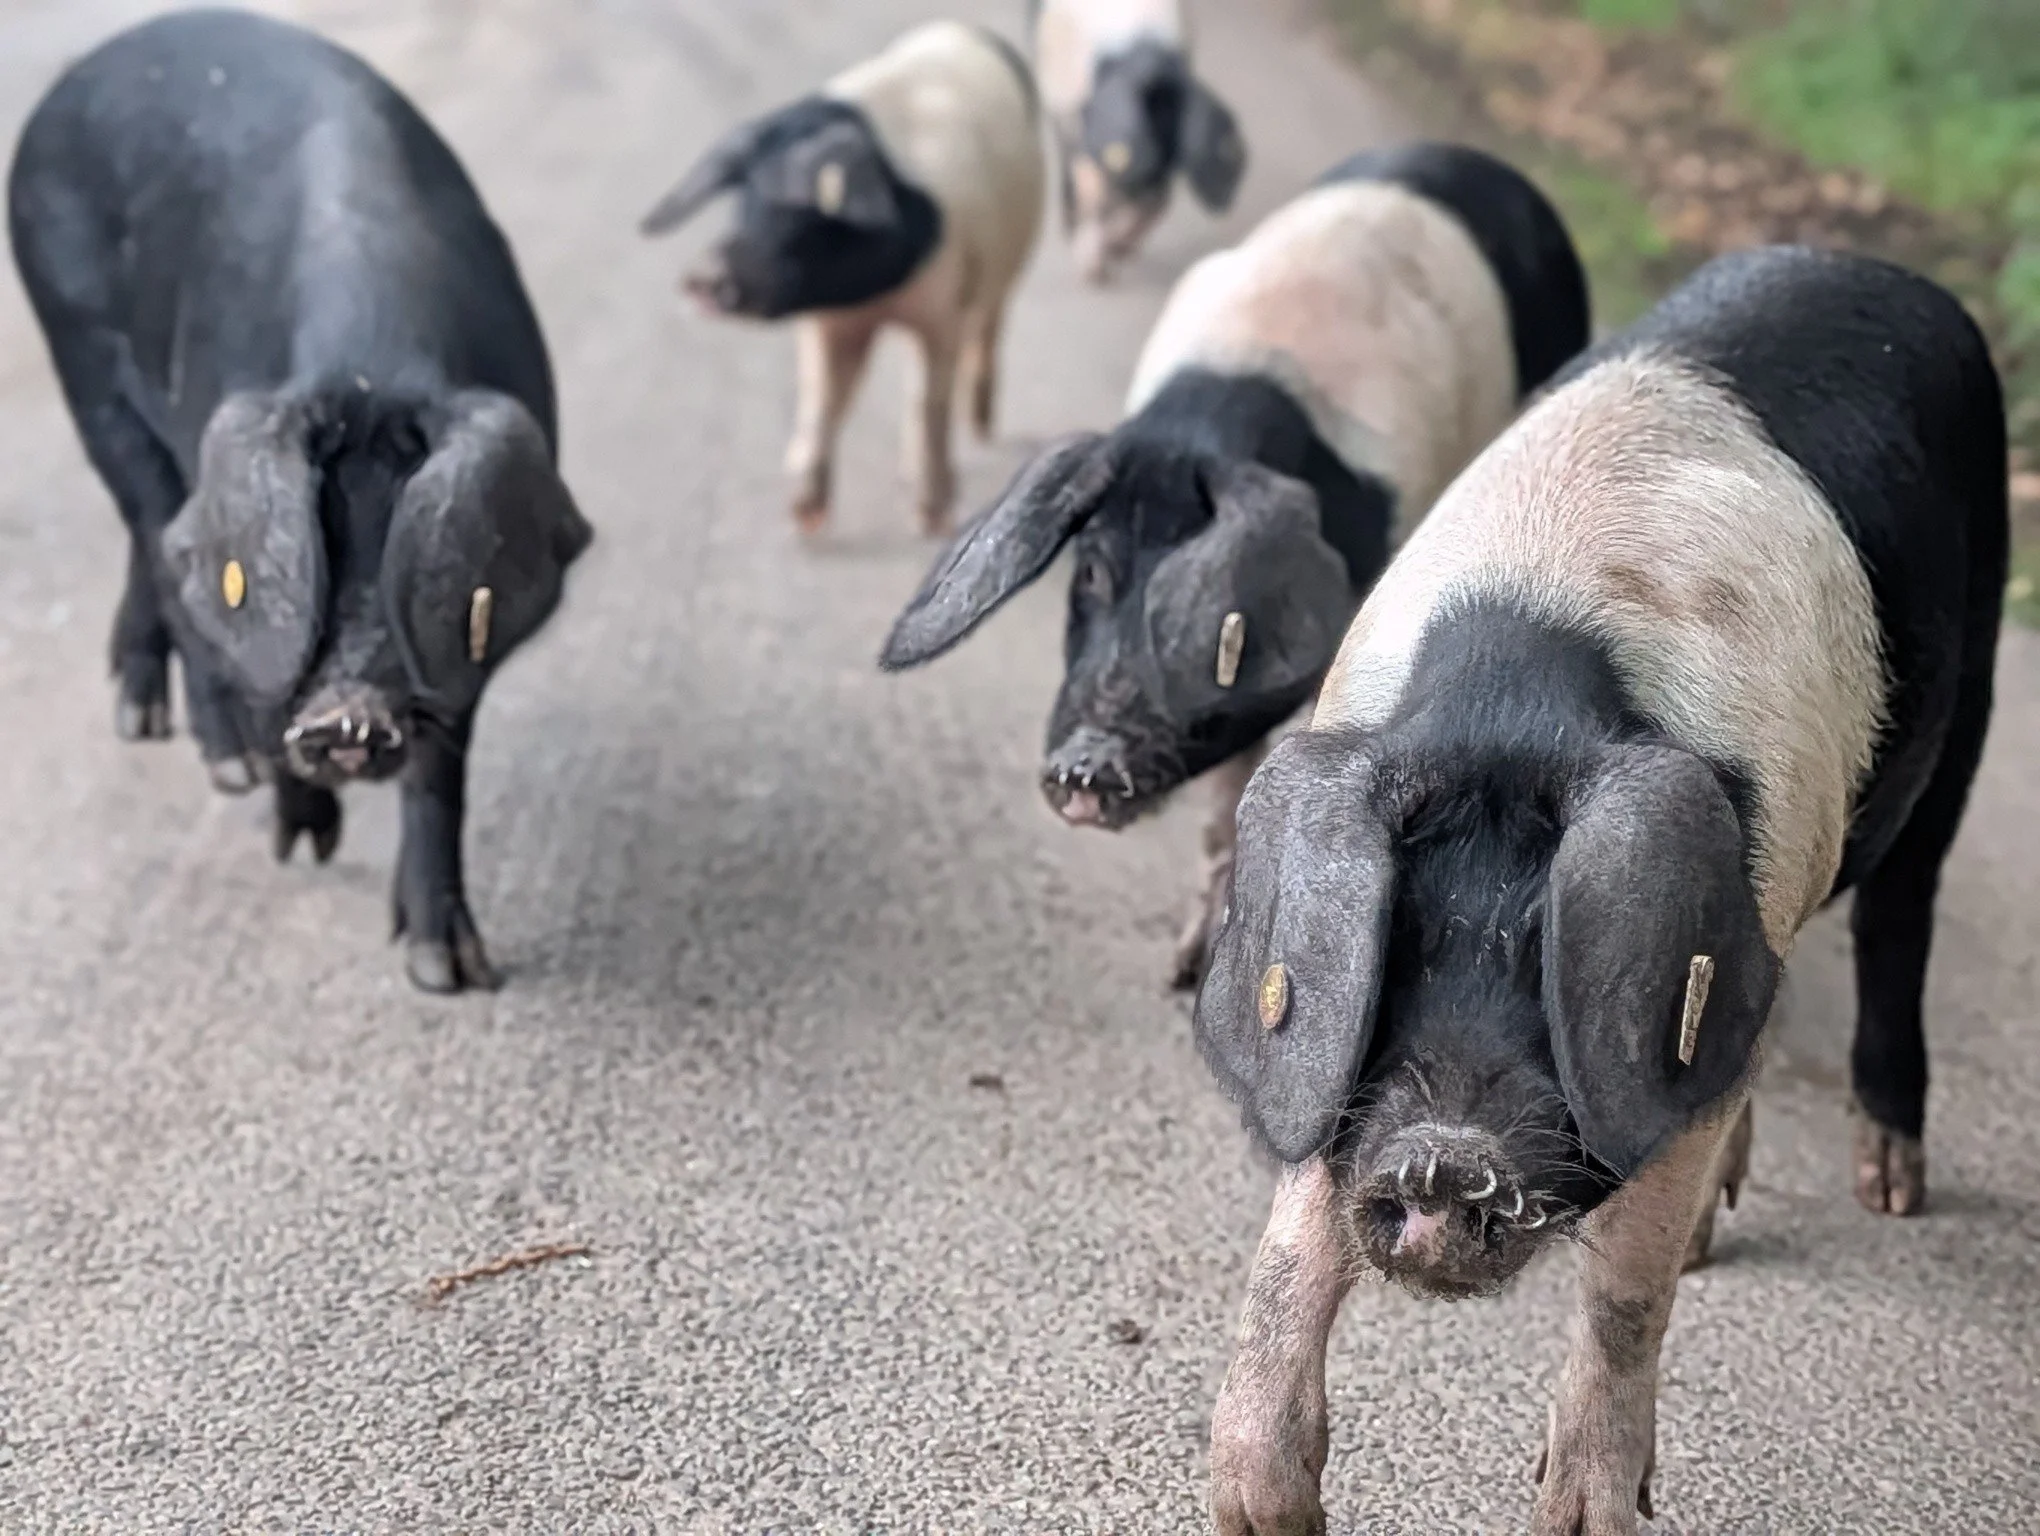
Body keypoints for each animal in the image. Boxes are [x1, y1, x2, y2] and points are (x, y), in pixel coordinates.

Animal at [7, 10, 592, 994]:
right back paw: (219, 765)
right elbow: (250, 650)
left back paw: (142, 716)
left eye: (407, 557)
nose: (344, 716)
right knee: (153, 529)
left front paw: (446, 971)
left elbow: (443, 764)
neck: (370, 366)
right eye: (319, 542)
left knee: (161, 541)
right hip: (81, 360)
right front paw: (302, 839)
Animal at [640, 22, 1045, 536]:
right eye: (745, 201)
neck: (878, 297)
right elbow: (824, 399)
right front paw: (804, 515)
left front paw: (931, 520)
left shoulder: (943, 311)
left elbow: (925, 402)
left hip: (1006, 267)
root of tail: (960, 27)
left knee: (985, 334)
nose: (704, 275)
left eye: (803, 218)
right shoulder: (829, 322)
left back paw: (978, 428)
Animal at [881, 143, 1589, 987]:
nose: (1086, 768)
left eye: (1220, 623)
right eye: (1091, 572)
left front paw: (1192, 974)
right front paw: (1177, 972)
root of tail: (1481, 162)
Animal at [1031, 0, 1246, 281]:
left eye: (1175, 150)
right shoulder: (1070, 116)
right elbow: (1090, 195)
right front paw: (1094, 272)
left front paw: (1117, 251)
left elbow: (1156, 204)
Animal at [1195, 245, 2005, 1535]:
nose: (1438, 1156)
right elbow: (1289, 1250)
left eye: (1559, 958)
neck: (1516, 703)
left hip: (1966, 699)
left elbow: (1625, 1290)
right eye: (1396, 942)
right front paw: (1262, 1510)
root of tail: (1861, 260)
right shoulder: (1331, 1063)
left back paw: (1889, 1189)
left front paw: (1586, 1515)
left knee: (1900, 918)